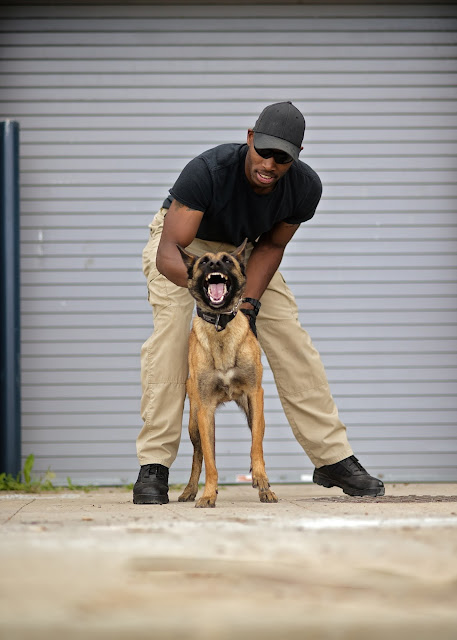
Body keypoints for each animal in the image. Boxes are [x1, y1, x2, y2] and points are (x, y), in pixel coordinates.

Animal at [176, 241, 278, 510]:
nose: (214, 264)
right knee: (198, 455)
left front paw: (262, 481)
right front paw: (208, 494)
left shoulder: (255, 395)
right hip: (194, 423)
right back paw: (191, 490)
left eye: (227, 260)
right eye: (203, 262)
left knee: (256, 437)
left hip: (254, 413)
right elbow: (210, 462)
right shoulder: (205, 410)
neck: (220, 326)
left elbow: (256, 446)